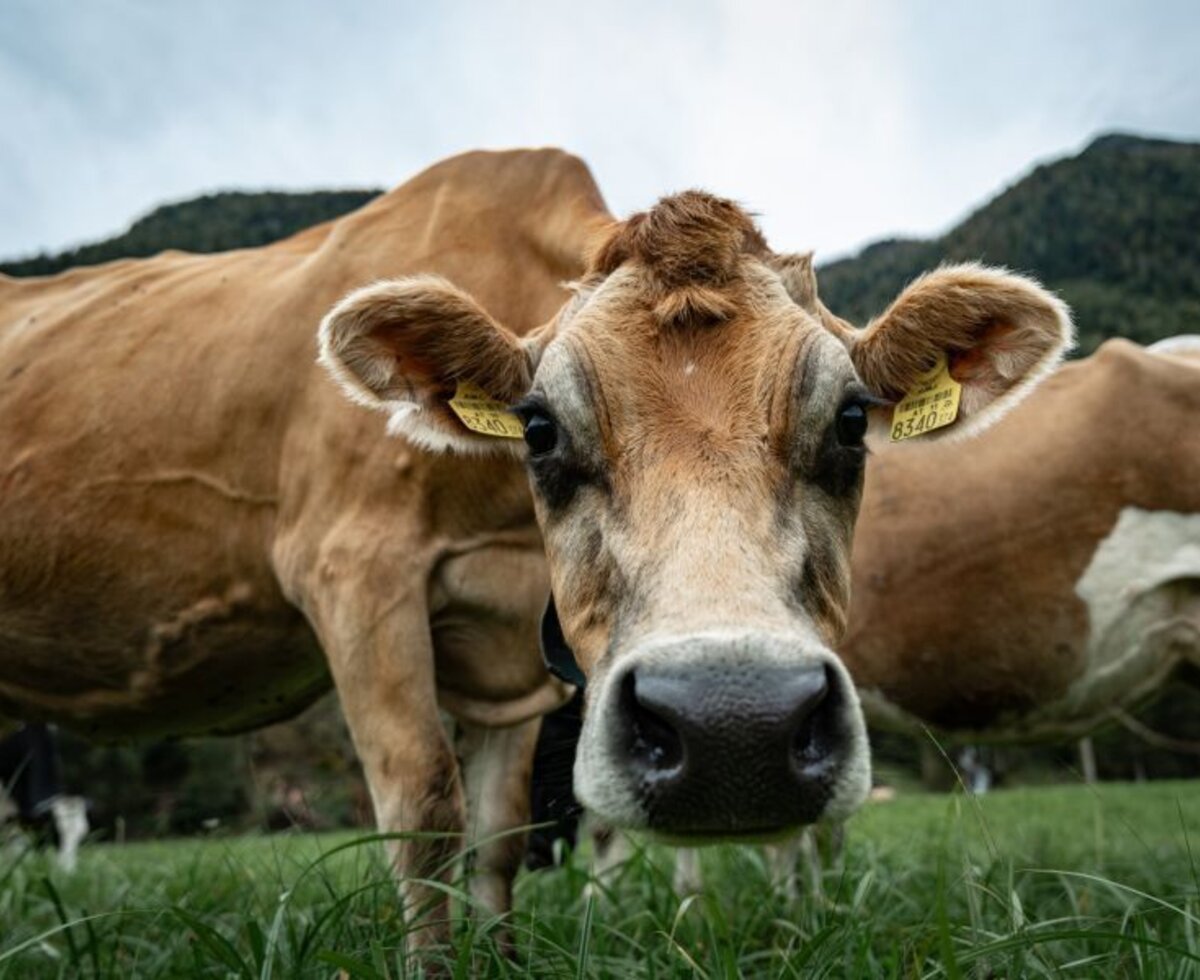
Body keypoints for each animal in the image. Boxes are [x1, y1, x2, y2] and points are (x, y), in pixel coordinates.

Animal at [0, 148, 1070, 941]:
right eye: (541, 428)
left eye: (852, 421)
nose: (736, 726)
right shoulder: (353, 569)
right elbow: (423, 809)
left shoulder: (509, 636)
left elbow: (497, 835)